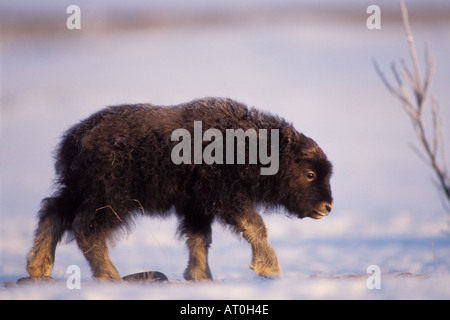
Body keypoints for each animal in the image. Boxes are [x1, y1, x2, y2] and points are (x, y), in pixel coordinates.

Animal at [26, 97, 332, 280]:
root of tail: (77, 139)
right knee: (86, 229)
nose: (327, 207)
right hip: (111, 199)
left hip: (78, 191)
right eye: (310, 173)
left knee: (53, 211)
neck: (253, 148)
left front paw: (199, 275)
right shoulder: (226, 196)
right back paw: (110, 275)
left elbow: (199, 239)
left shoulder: (197, 206)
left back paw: (38, 267)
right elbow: (254, 225)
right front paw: (270, 268)